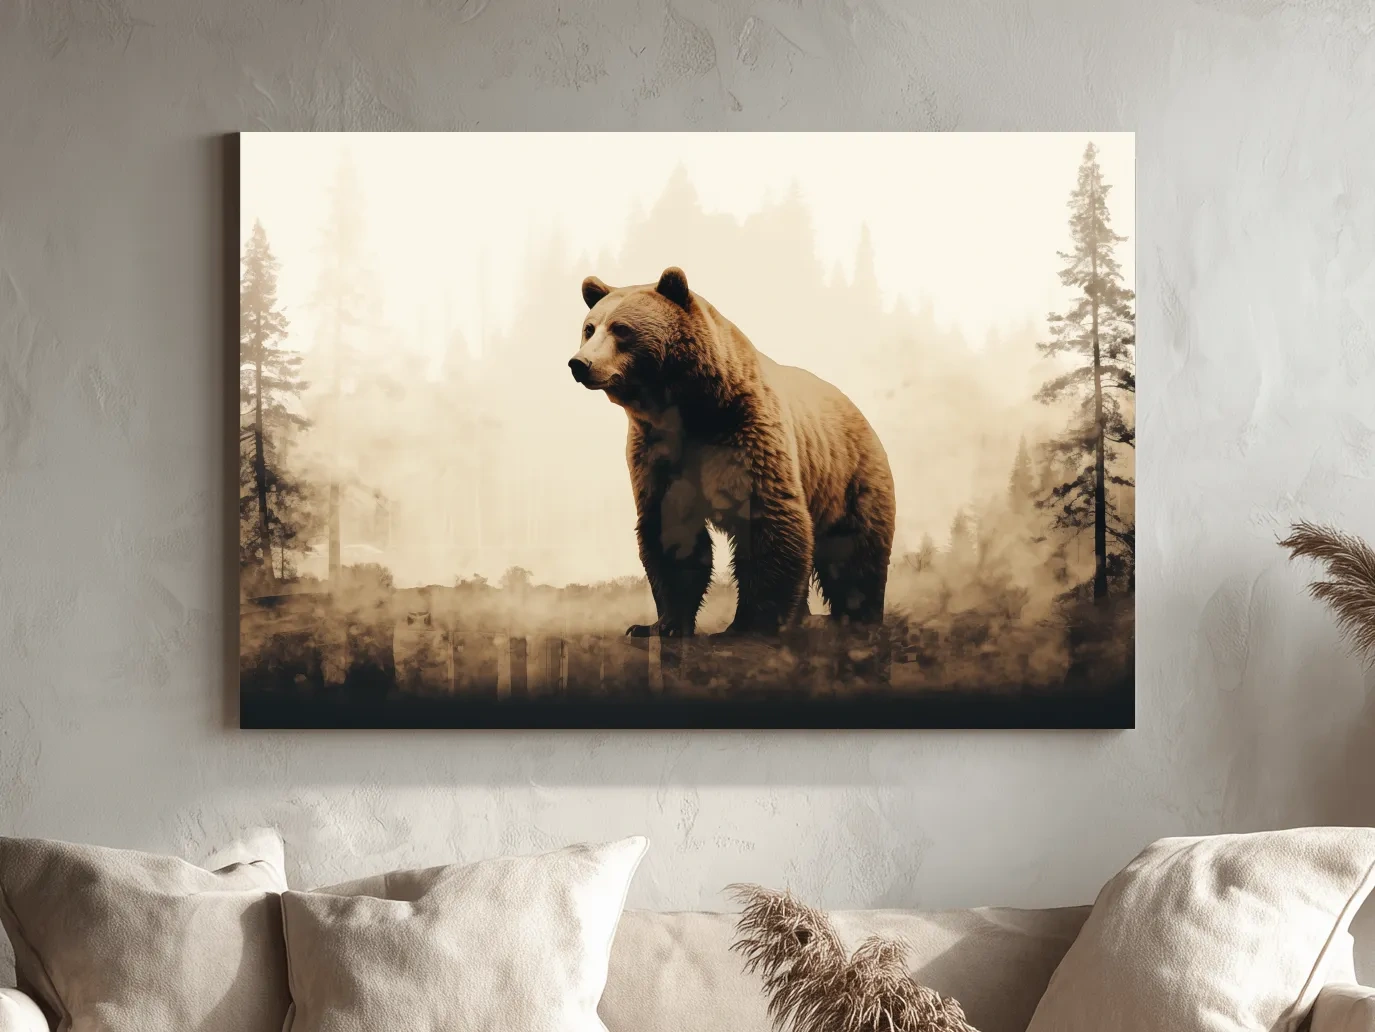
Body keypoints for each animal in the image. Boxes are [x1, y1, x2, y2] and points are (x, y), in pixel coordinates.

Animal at [569, 267, 896, 638]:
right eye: (589, 328)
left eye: (621, 328)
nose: (580, 363)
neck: (690, 408)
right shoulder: (658, 450)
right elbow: (669, 528)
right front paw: (660, 625)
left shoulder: (746, 430)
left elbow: (768, 517)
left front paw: (751, 625)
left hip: (848, 474)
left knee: (855, 550)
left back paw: (857, 618)